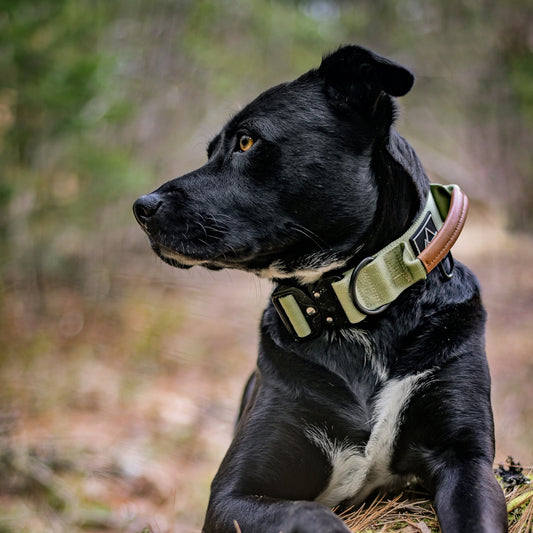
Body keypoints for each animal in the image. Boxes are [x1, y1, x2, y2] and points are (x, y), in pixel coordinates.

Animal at [133, 44, 508, 532]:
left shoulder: (466, 460)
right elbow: (312, 514)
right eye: (212, 150)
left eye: (246, 142)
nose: (141, 207)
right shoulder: (232, 495)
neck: (353, 310)